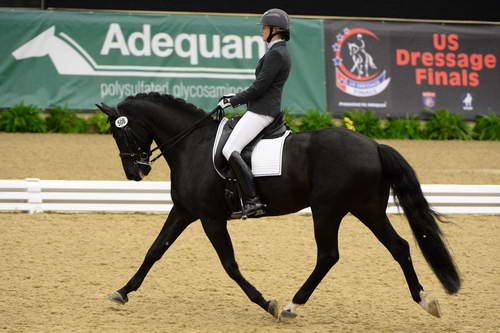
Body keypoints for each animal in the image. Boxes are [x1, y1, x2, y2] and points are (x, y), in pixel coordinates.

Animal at [96, 91, 460, 320]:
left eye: (119, 134)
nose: (134, 173)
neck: (192, 145)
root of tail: (374, 146)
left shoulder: (211, 219)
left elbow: (230, 265)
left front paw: (265, 302)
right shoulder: (184, 212)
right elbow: (154, 250)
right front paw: (122, 291)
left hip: (327, 209)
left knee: (329, 256)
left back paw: (289, 307)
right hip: (366, 208)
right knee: (399, 247)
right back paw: (426, 301)